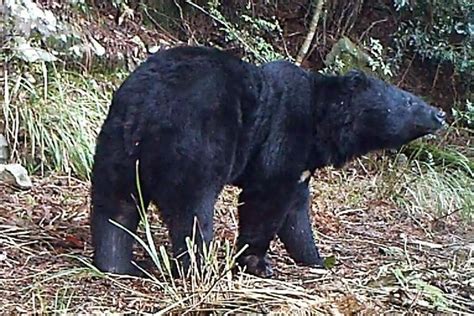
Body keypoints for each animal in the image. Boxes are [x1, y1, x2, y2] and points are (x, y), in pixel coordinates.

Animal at [90, 45, 446, 278]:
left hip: (117, 146)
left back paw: (115, 264)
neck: (321, 124)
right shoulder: (286, 131)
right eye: (410, 100)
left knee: (115, 205)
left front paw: (315, 259)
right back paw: (201, 267)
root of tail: (147, 107)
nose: (440, 113)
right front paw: (258, 263)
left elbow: (296, 212)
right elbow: (267, 198)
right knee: (191, 210)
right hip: (195, 140)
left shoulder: (303, 165)